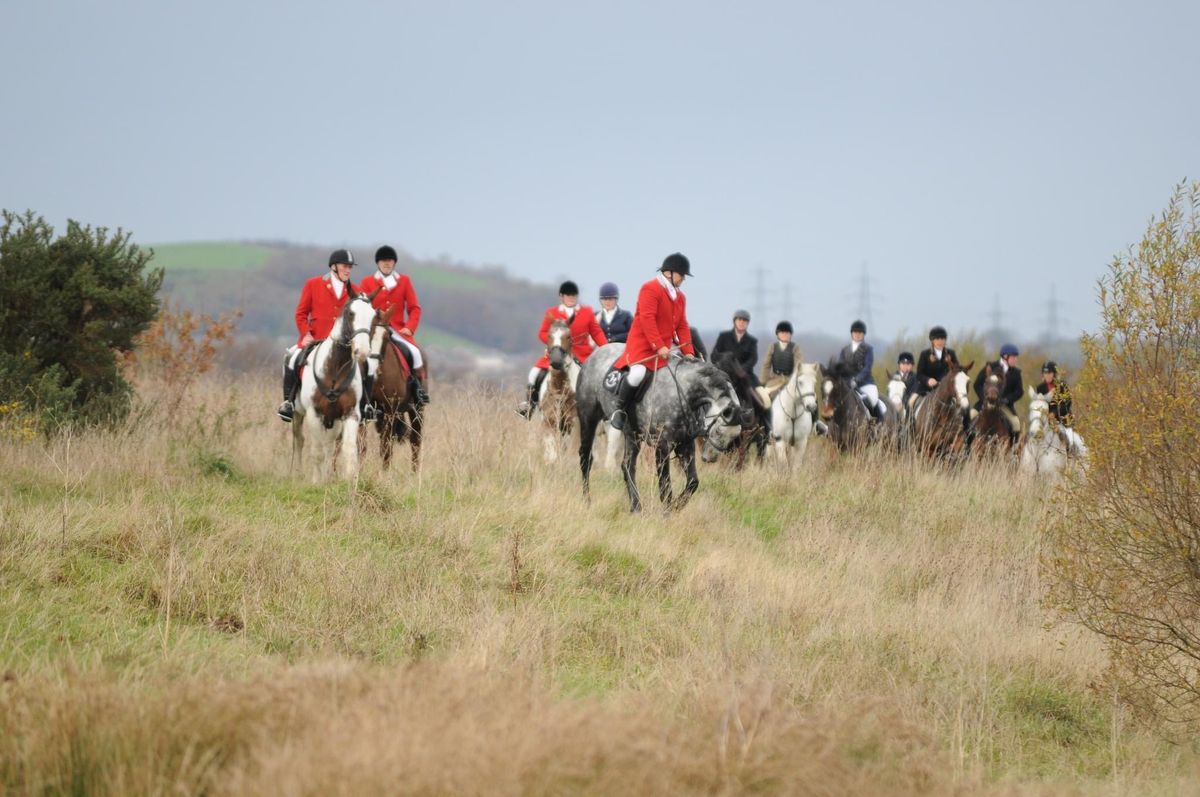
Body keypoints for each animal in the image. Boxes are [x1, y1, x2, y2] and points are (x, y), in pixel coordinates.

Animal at [291, 289, 376, 482]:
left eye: (373, 316)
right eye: (351, 313)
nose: (362, 351)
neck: (335, 367)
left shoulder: (351, 414)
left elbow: (349, 450)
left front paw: (349, 481)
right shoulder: (314, 413)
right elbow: (317, 452)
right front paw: (316, 482)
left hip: (334, 422)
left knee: (330, 448)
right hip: (298, 415)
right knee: (300, 440)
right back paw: (298, 474)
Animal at [576, 345, 744, 513]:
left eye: (734, 437)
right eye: (718, 431)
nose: (711, 458)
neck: (685, 392)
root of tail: (595, 353)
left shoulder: (685, 444)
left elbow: (692, 482)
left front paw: (677, 506)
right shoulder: (662, 445)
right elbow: (665, 484)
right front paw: (667, 511)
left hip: (632, 435)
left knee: (627, 466)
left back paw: (636, 506)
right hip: (588, 418)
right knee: (586, 459)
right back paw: (587, 501)